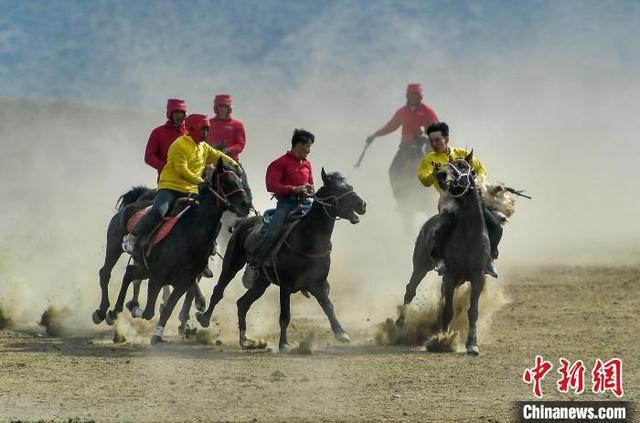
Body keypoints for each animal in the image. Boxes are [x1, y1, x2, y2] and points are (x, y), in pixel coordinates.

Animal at [195, 169, 364, 352]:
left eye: (350, 186)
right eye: (338, 189)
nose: (362, 205)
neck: (307, 240)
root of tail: (243, 223)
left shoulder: (318, 284)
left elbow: (328, 307)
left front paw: (341, 333)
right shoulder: (286, 285)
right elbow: (285, 315)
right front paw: (283, 343)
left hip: (261, 282)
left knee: (242, 303)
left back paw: (245, 340)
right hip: (232, 264)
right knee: (219, 291)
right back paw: (204, 318)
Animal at [398, 154, 492, 356]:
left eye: (463, 165)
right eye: (446, 165)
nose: (441, 175)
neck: (469, 234)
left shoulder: (478, 277)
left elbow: (473, 312)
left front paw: (472, 345)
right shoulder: (450, 275)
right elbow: (448, 310)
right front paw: (442, 339)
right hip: (420, 266)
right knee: (410, 290)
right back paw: (399, 326)